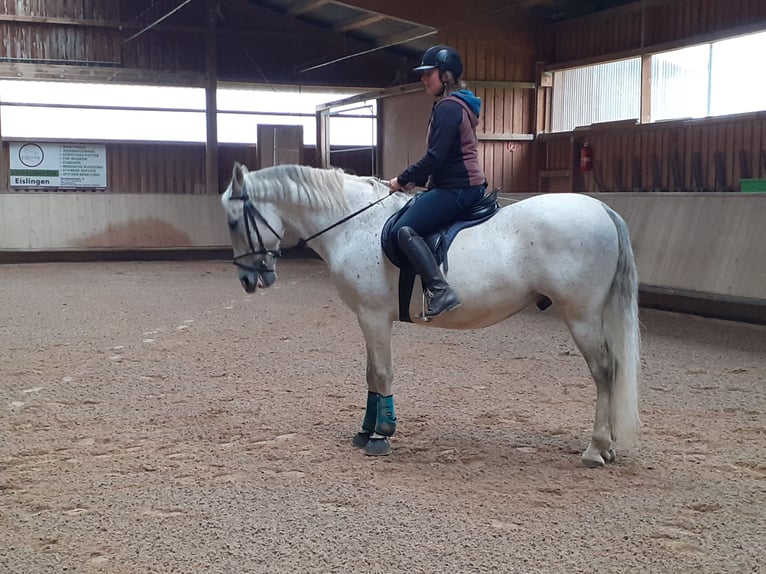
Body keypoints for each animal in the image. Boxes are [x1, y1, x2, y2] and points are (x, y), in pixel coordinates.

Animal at [222, 162, 640, 468]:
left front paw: (381, 435)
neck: (354, 224)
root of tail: (601, 208)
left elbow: (381, 373)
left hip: (581, 315)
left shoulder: (374, 316)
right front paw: (365, 431)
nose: (247, 279)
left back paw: (595, 448)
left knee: (604, 372)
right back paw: (606, 446)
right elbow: (369, 373)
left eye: (233, 221)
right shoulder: (367, 318)